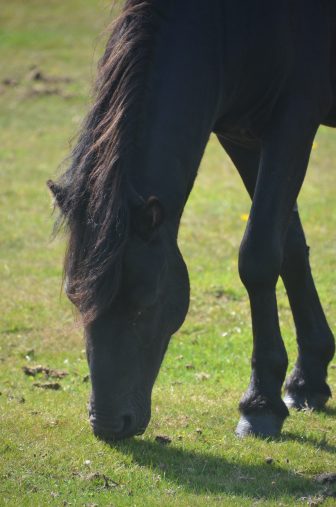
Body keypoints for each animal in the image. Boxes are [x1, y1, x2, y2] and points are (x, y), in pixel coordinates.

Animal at [48, 0, 334, 440]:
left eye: (146, 300)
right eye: (74, 298)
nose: (108, 425)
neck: (229, 27)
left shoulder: (294, 122)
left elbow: (258, 257)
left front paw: (260, 405)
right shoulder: (243, 134)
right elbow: (288, 251)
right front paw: (307, 380)